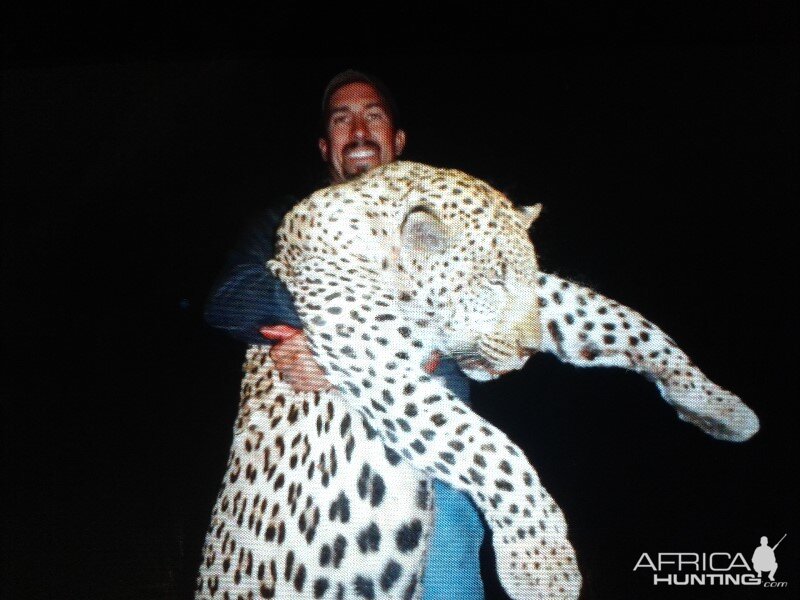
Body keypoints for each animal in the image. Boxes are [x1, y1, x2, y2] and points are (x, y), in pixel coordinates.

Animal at [197, 161, 760, 600]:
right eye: (491, 283)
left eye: (522, 281)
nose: (529, 352)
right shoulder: (383, 365)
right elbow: (491, 450)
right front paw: (543, 565)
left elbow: (617, 320)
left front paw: (716, 404)